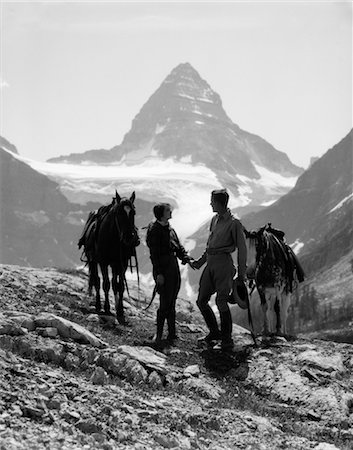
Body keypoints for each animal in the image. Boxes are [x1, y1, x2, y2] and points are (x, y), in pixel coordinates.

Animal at [79, 192, 140, 322]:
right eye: (119, 213)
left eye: (133, 212)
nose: (129, 237)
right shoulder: (103, 262)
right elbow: (106, 284)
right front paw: (107, 308)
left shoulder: (122, 263)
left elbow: (120, 286)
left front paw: (120, 311)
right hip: (93, 261)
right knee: (96, 281)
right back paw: (98, 305)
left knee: (113, 283)